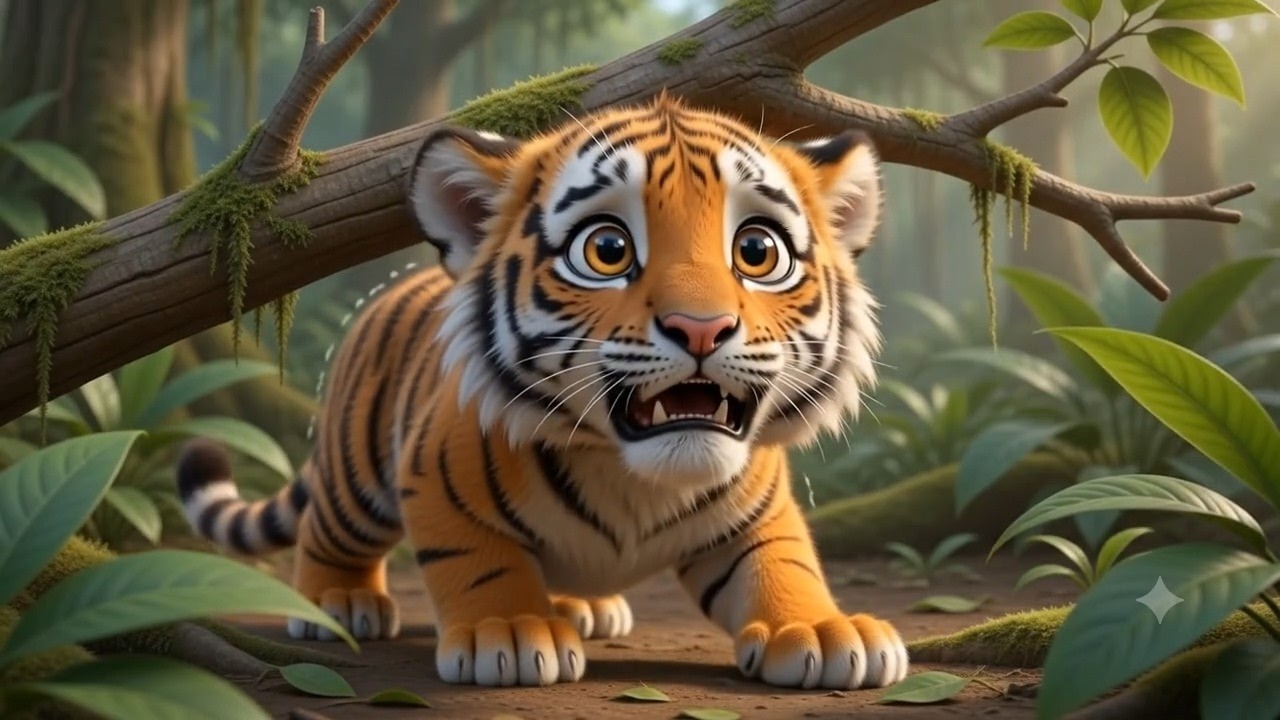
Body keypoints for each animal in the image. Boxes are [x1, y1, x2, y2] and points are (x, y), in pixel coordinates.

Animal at [175, 92, 908, 690]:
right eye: (608, 249)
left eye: (757, 251)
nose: (700, 327)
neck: (634, 479)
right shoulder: (435, 480)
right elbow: (480, 559)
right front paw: (507, 633)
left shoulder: (758, 515)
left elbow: (783, 564)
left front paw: (820, 630)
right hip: (357, 475)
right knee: (327, 530)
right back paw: (339, 602)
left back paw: (586, 607)